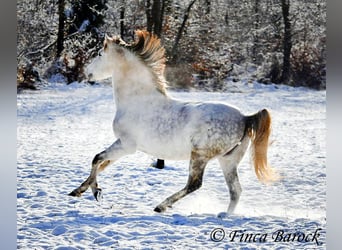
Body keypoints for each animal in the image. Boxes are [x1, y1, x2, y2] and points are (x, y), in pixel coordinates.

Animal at [69, 29, 278, 213]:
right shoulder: (122, 145)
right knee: (235, 191)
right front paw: (78, 191)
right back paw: (224, 216)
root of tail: (245, 118)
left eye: (99, 54)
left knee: (195, 184)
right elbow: (102, 164)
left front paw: (95, 192)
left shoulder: (127, 145)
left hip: (199, 156)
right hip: (228, 161)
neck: (137, 100)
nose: (86, 72)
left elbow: (97, 159)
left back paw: (161, 206)